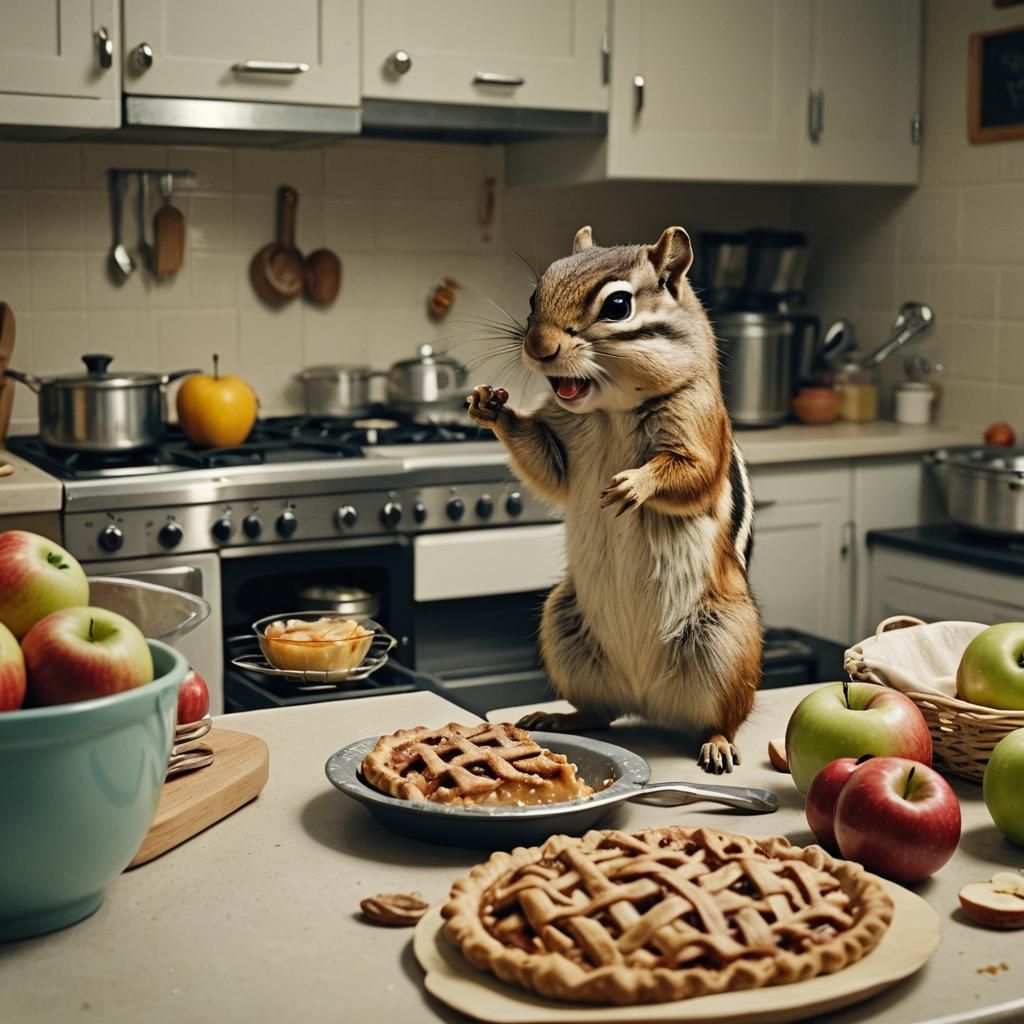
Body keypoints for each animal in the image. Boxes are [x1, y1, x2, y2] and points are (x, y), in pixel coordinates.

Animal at [467, 225, 761, 773]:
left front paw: (634, 484)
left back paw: (717, 742)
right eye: (534, 297)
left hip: (727, 642)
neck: (610, 410)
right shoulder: (560, 443)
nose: (538, 348)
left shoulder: (699, 427)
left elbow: (693, 475)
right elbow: (545, 466)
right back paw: (559, 717)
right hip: (562, 626)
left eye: (618, 306)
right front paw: (491, 407)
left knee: (726, 717)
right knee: (601, 714)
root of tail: (648, 701)